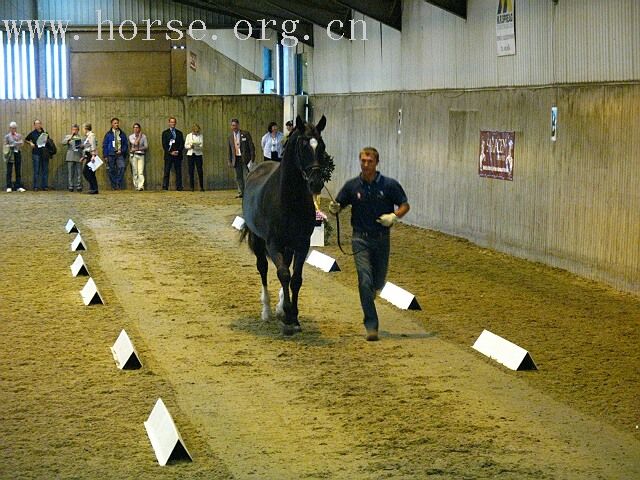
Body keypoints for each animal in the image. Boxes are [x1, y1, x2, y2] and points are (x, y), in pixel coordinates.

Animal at [242, 115, 328, 334]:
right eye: (303, 146)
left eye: (321, 146)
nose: (316, 183)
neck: (289, 199)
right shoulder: (273, 244)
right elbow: (282, 273)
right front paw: (288, 317)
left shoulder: (302, 244)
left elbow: (295, 278)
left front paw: (292, 316)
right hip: (259, 241)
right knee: (263, 268)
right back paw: (267, 311)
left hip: (288, 246)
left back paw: (280, 307)